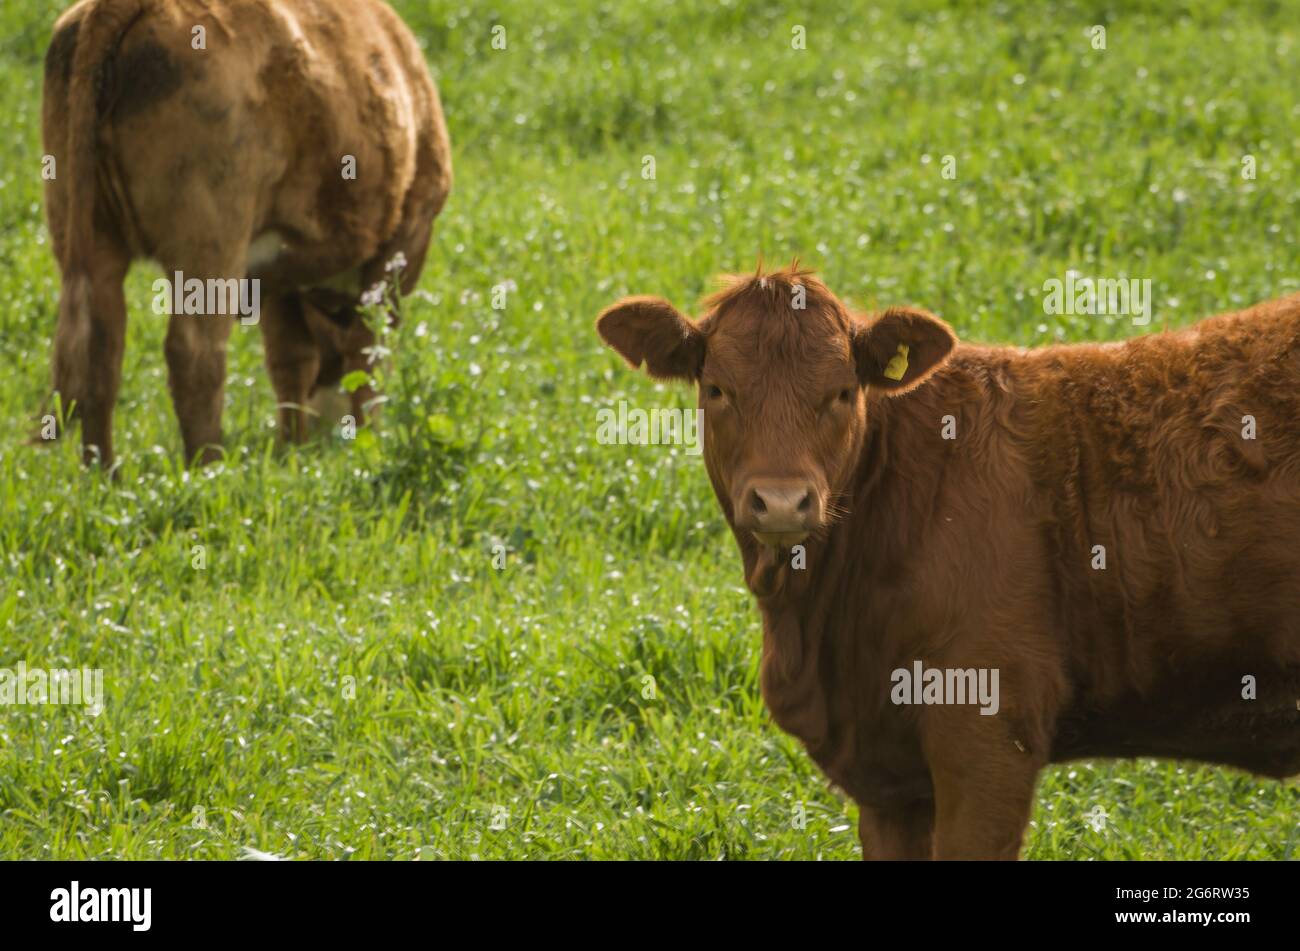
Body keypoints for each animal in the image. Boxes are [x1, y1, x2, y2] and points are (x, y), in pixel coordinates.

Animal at [41, 0, 452, 465]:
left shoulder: (282, 277)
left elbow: (290, 359)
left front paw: (293, 451)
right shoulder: (404, 239)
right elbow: (366, 352)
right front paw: (366, 446)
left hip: (86, 226)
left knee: (99, 349)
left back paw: (105, 475)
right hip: (211, 236)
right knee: (194, 354)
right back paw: (208, 468)